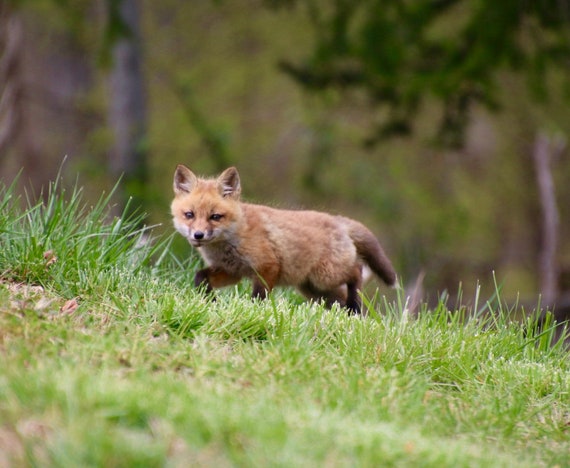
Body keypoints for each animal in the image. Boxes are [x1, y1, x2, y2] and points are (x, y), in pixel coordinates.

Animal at [171, 165, 394, 314]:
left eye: (215, 217)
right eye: (189, 215)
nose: (198, 235)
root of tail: (337, 220)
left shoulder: (268, 266)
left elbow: (259, 296)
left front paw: (254, 313)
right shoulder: (231, 271)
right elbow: (200, 276)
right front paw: (209, 300)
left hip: (326, 276)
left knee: (357, 271)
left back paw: (354, 305)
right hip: (315, 289)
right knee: (341, 297)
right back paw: (351, 315)